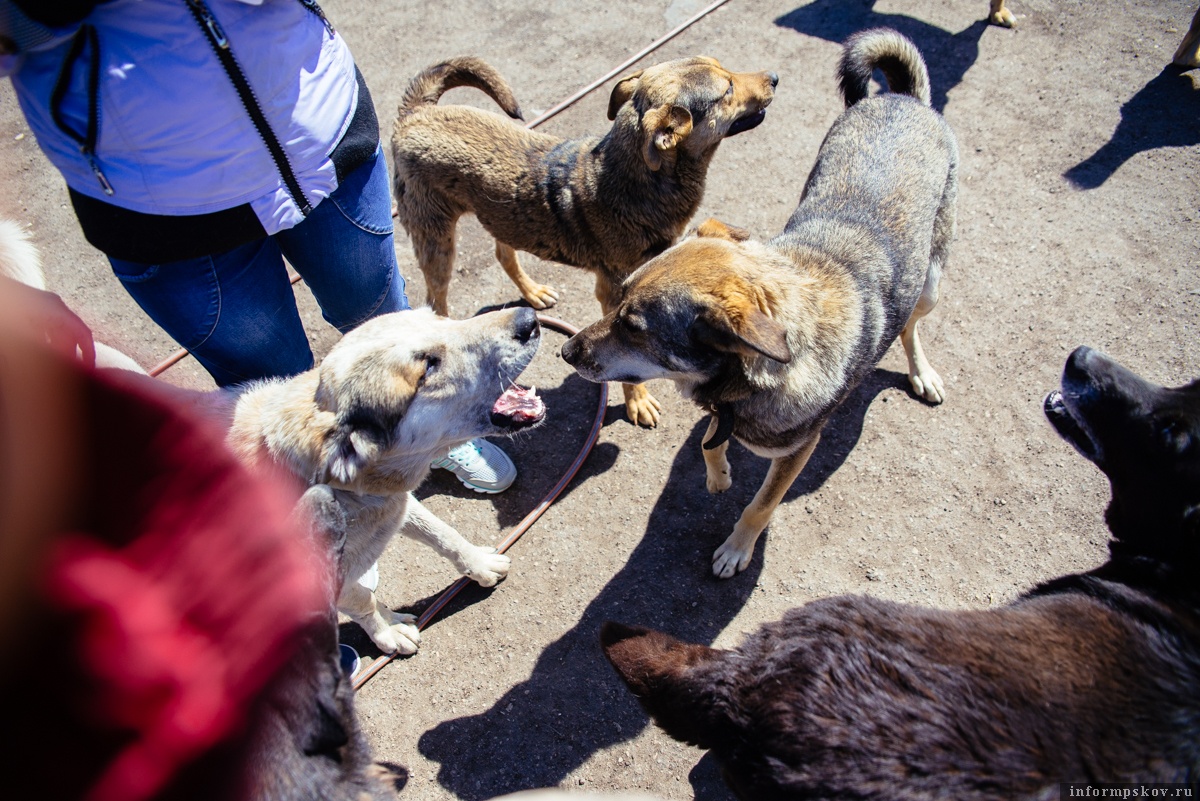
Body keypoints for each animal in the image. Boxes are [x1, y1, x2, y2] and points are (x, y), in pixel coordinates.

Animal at [386, 53, 777, 429]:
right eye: (727, 89)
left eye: (725, 69)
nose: (773, 77)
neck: (634, 177)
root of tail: (415, 113)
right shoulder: (612, 293)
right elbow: (623, 362)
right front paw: (637, 401)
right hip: (436, 243)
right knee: (436, 297)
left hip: (499, 216)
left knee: (502, 252)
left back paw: (533, 292)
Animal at [561, 26, 955, 575]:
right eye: (616, 301)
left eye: (634, 327)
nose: (564, 351)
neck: (749, 375)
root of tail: (904, 98)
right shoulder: (717, 407)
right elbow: (710, 444)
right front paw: (718, 475)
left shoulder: (797, 450)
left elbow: (761, 504)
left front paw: (736, 548)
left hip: (931, 283)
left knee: (911, 326)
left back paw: (923, 373)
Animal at [600, 347, 1200, 801]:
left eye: (1172, 430)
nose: (1081, 357)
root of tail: (746, 687)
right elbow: (719, 450)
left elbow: (753, 496)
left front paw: (735, 532)